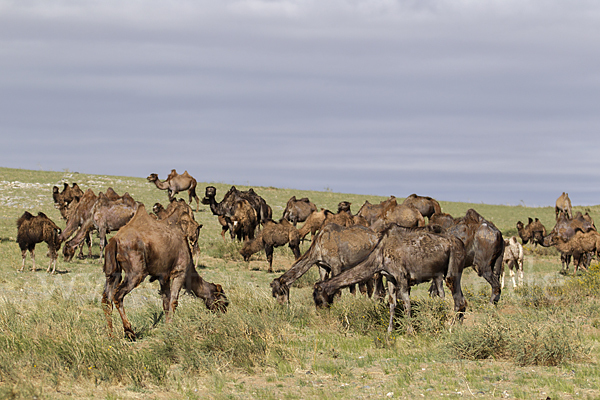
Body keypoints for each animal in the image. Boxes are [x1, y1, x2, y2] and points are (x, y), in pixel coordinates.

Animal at [101, 205, 227, 340]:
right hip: (136, 272)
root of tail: (115, 240)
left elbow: (165, 302)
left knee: (106, 299)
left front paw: (167, 326)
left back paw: (111, 335)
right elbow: (173, 301)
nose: (224, 312)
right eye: (222, 300)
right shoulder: (180, 272)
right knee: (118, 295)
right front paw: (171, 326)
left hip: (113, 272)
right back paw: (130, 332)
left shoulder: (163, 276)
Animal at [312, 225, 466, 334]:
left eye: (317, 298)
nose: (320, 313)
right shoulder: (390, 277)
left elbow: (406, 303)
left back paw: (450, 328)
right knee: (461, 300)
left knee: (458, 300)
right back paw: (457, 327)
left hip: (453, 271)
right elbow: (392, 303)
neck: (379, 255)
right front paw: (390, 331)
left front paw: (409, 331)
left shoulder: (401, 276)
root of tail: (460, 244)